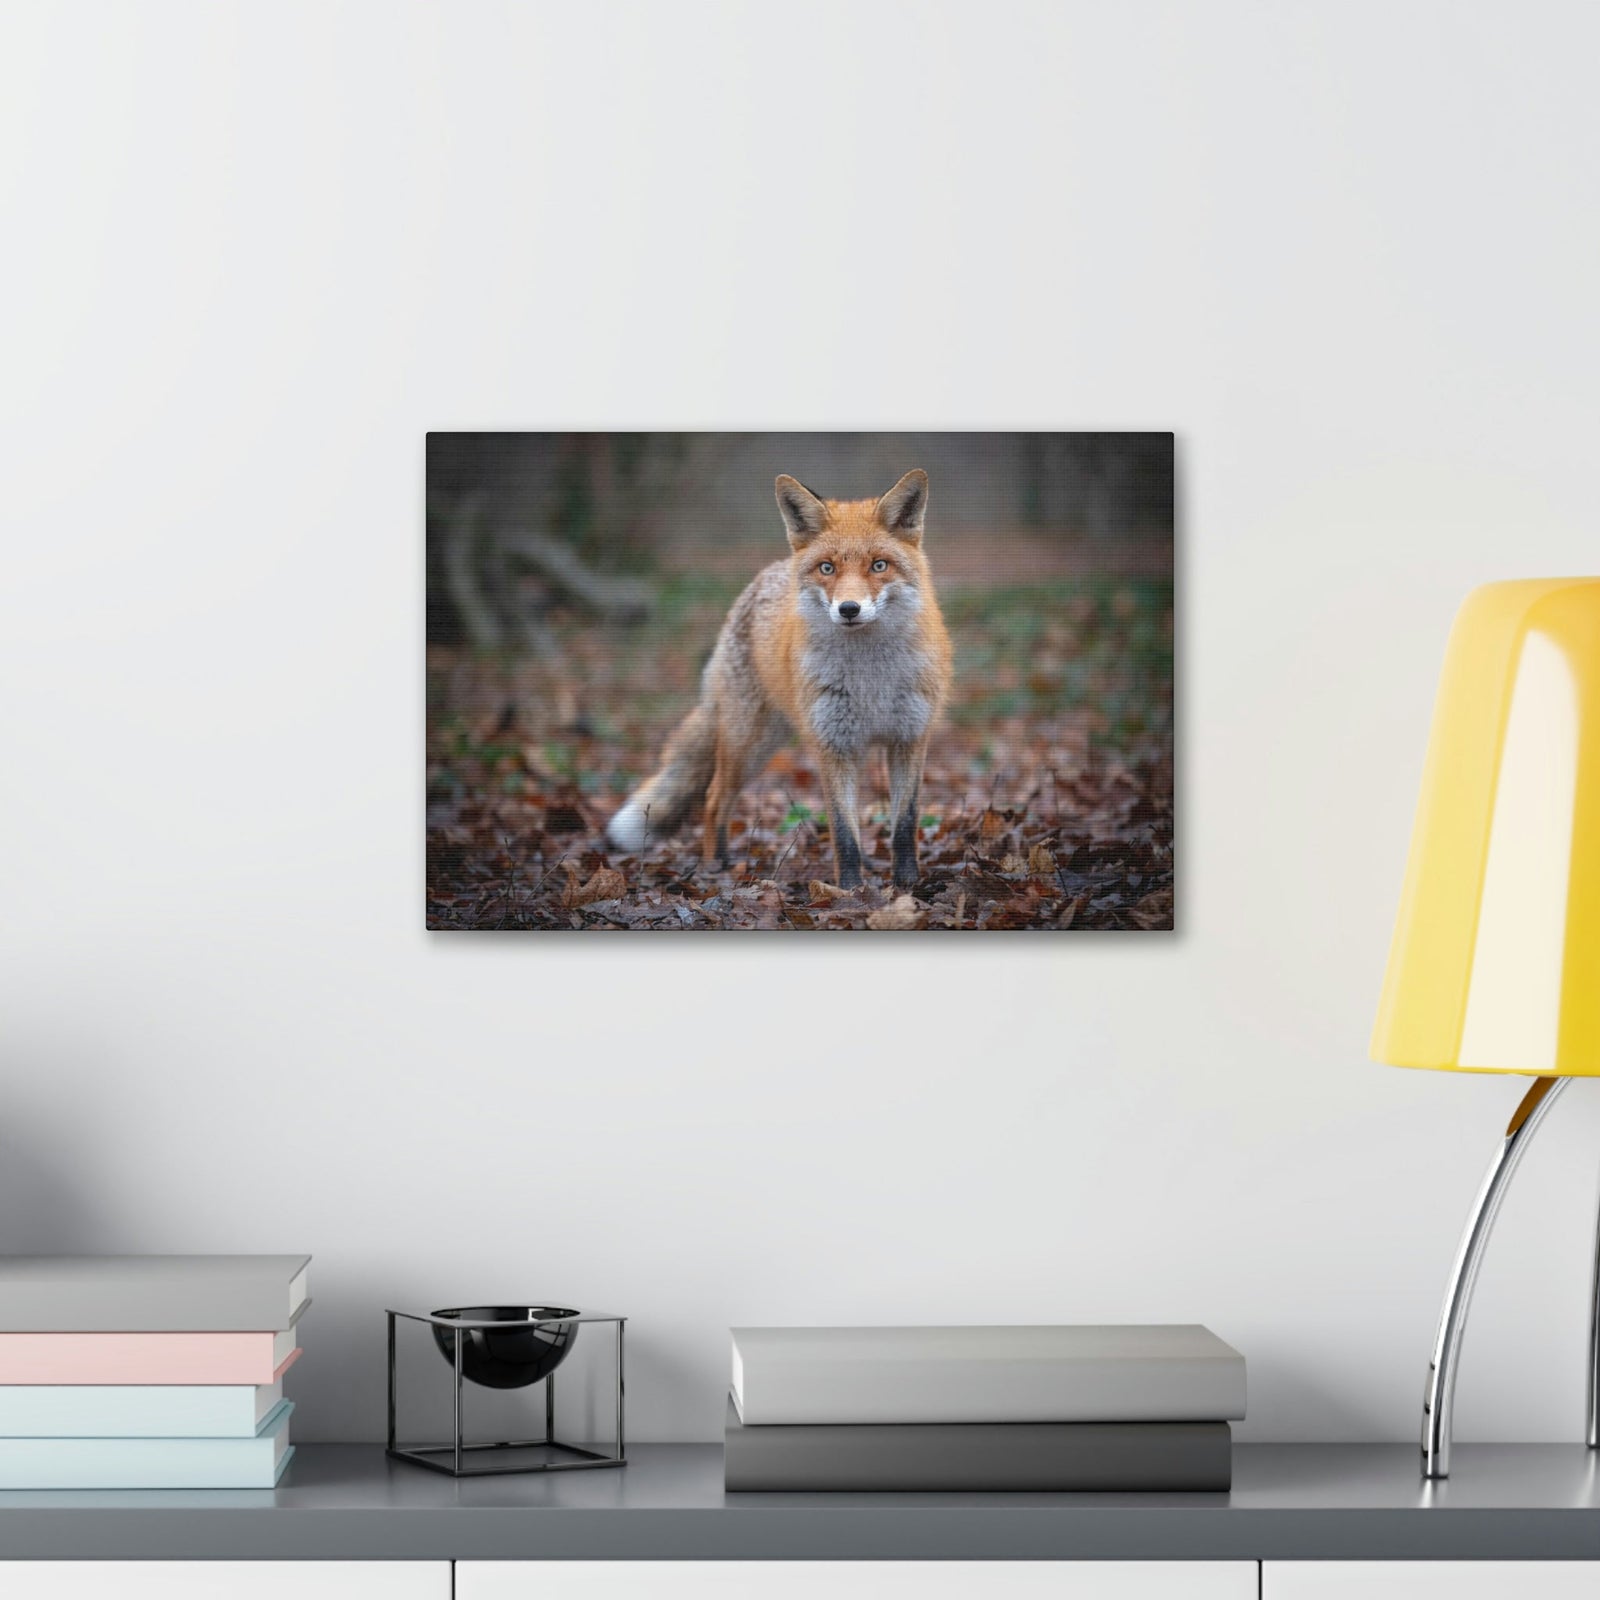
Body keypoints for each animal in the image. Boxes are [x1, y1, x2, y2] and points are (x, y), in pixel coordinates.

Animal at [604, 469, 953, 891]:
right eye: (827, 568)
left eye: (879, 565)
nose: (848, 609)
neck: (870, 678)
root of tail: (766, 574)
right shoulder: (832, 744)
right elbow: (843, 833)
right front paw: (850, 890)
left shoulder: (909, 738)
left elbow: (904, 824)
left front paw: (907, 885)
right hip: (748, 744)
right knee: (714, 799)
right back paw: (715, 867)